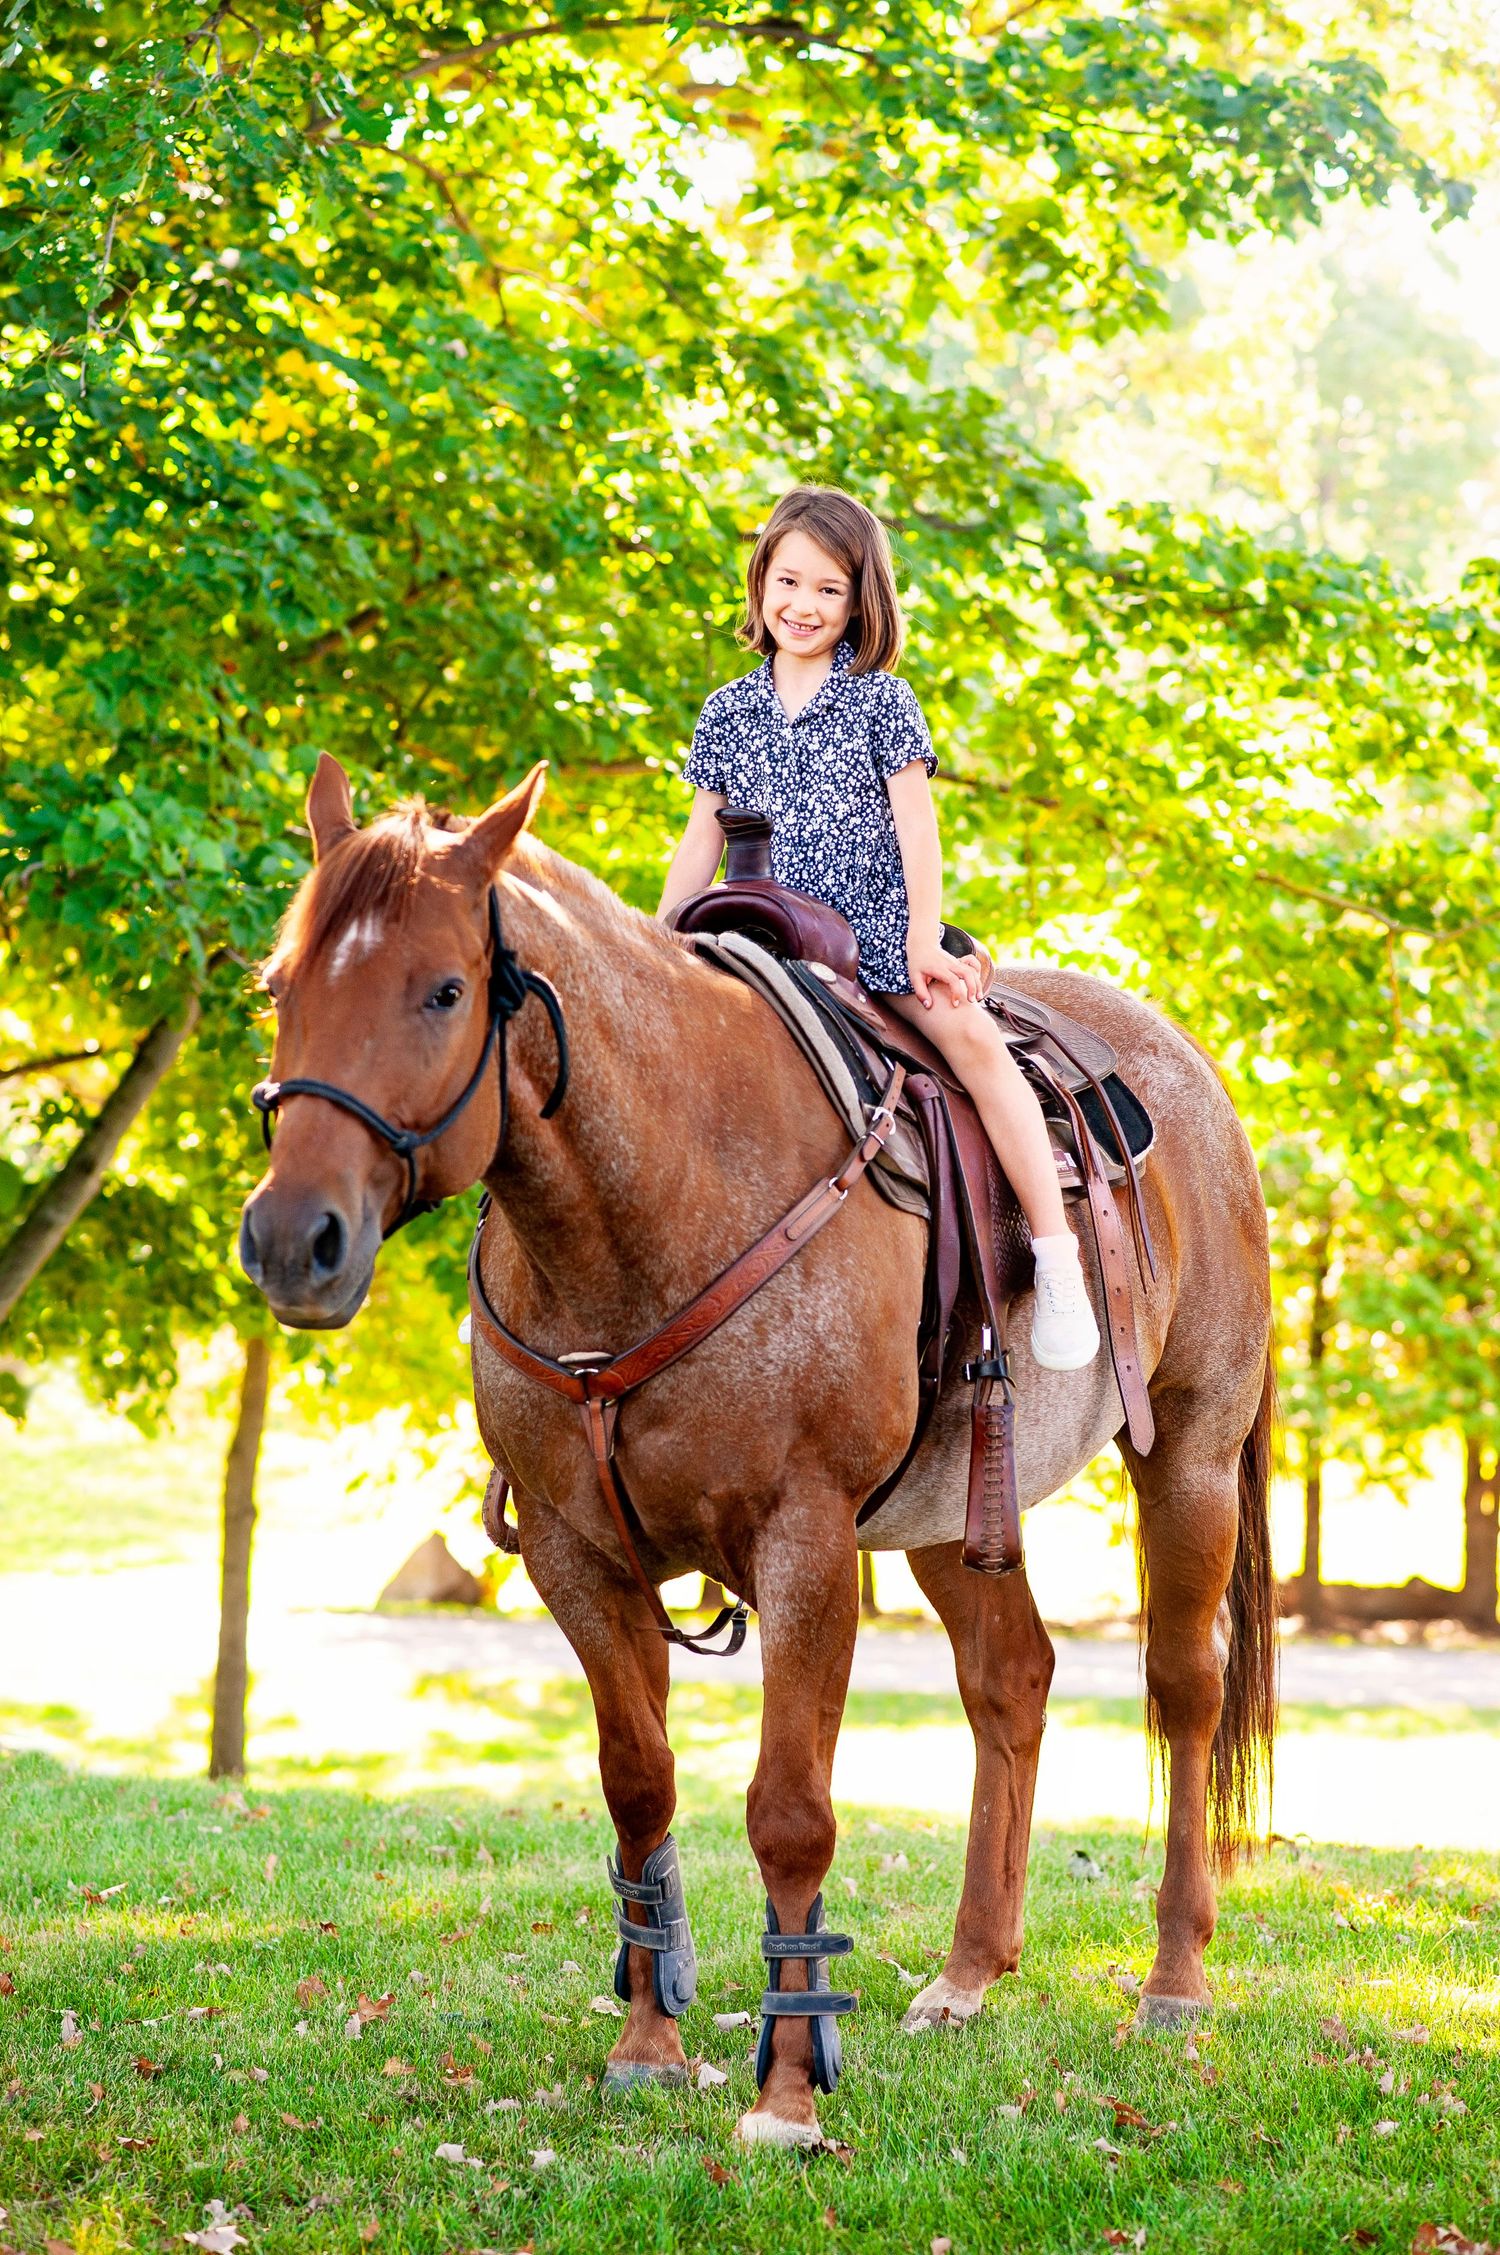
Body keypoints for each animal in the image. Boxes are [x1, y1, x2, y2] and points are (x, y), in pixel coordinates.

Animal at [239, 753, 1276, 2150]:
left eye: (444, 988)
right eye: (280, 984)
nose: (294, 1237)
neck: (657, 1200)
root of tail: (1189, 1076)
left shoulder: (806, 1540)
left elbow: (789, 1814)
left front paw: (788, 2087)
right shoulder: (577, 1553)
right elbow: (640, 1786)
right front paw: (649, 2042)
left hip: (1193, 1455)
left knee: (1183, 1692)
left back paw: (1172, 1982)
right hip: (955, 1509)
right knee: (1013, 1680)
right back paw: (967, 1972)